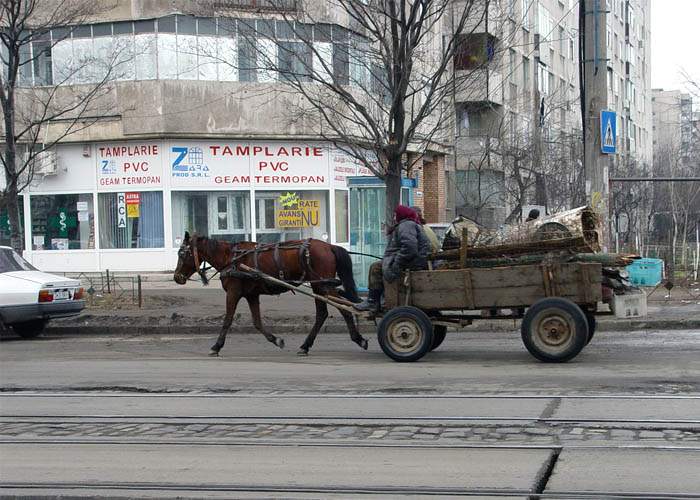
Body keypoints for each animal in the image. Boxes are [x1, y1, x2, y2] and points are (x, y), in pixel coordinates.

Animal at [172, 232, 370, 358]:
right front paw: (276, 340)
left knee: (343, 309)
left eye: (182, 253)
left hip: (323, 286)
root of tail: (329, 246)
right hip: (319, 286)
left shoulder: (234, 293)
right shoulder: (251, 295)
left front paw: (216, 346)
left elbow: (227, 319)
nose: (176, 277)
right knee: (323, 314)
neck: (231, 258)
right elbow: (257, 322)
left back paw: (358, 339)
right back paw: (306, 346)